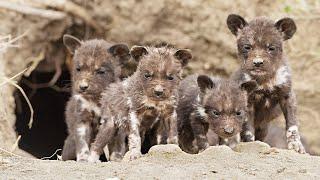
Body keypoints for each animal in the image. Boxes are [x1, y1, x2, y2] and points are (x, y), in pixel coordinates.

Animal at [226, 13, 306, 153]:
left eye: (271, 48)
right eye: (247, 47)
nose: (258, 62)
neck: (265, 80)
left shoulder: (287, 96)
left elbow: (292, 125)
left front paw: (296, 145)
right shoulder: (248, 101)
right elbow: (248, 130)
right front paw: (250, 145)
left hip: (263, 128)